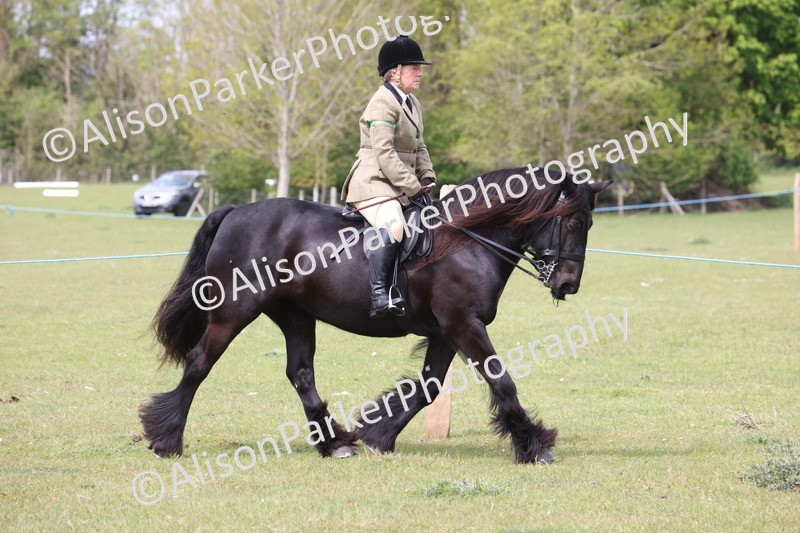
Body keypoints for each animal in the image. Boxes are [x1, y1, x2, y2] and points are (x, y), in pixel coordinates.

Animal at [140, 167, 611, 464]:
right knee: (199, 364)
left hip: (295, 315)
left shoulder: (447, 331)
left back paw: (335, 444)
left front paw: (377, 435)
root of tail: (236, 211)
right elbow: (502, 381)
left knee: (301, 374)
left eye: (589, 224)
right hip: (234, 312)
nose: (568, 284)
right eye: (570, 222)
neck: (469, 239)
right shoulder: (464, 325)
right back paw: (166, 439)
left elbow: (428, 387)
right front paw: (535, 446)